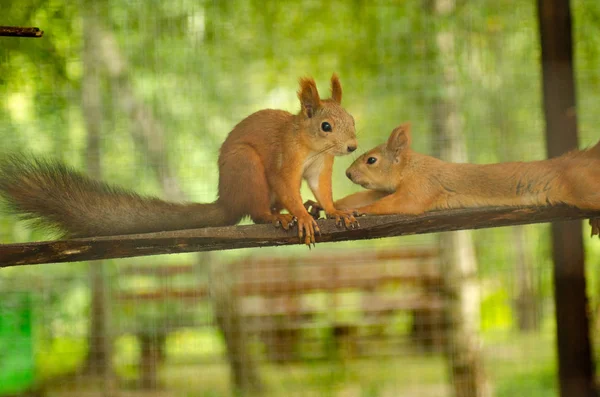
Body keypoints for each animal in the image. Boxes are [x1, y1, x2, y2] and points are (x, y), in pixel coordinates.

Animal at [0, 72, 358, 243]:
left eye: (352, 119)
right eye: (326, 126)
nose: (352, 147)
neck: (313, 148)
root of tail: (226, 199)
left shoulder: (320, 168)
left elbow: (322, 190)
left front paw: (333, 210)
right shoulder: (286, 159)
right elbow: (286, 185)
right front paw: (303, 216)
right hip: (246, 168)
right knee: (257, 213)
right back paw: (279, 217)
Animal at [308, 122, 600, 235]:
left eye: (371, 160)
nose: (348, 173)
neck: (412, 167)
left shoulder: (422, 186)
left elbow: (399, 204)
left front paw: (360, 211)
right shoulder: (384, 189)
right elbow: (363, 197)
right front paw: (324, 205)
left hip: (583, 188)